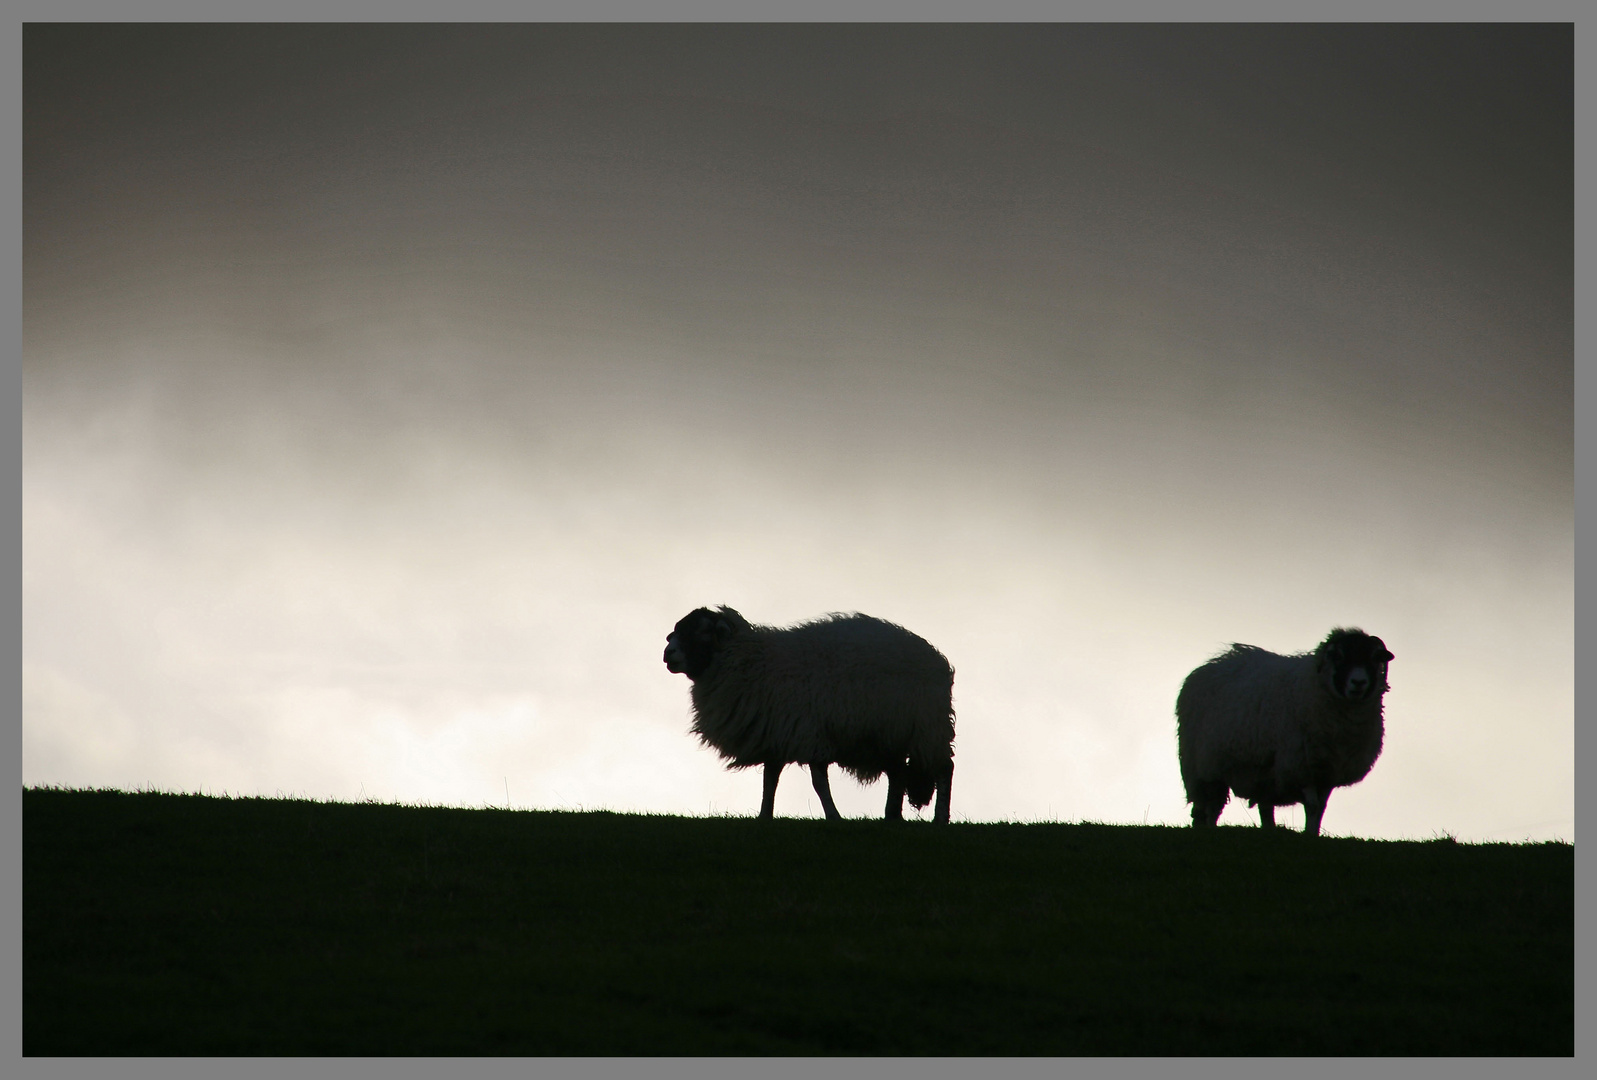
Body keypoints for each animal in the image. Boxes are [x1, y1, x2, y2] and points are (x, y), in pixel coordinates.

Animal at [657, 603, 945, 824]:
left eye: (702, 630)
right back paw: (891, 818)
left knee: (944, 768)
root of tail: (936, 658)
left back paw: (940, 818)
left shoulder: (810, 734)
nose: (667, 654)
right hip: (892, 736)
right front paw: (764, 817)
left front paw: (833, 817)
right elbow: (769, 782)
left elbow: (819, 784)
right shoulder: (775, 736)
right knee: (898, 775)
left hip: (928, 730)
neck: (752, 662)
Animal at [1181, 629, 1392, 837]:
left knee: (1264, 806)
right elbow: (1312, 805)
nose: (1359, 682)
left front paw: (1313, 833)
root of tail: (1213, 664)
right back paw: (1210, 828)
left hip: (1263, 772)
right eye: (1338, 656)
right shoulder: (1301, 765)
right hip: (1206, 767)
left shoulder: (1328, 771)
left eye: (1374, 657)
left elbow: (1321, 807)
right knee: (1211, 806)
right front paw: (1309, 835)